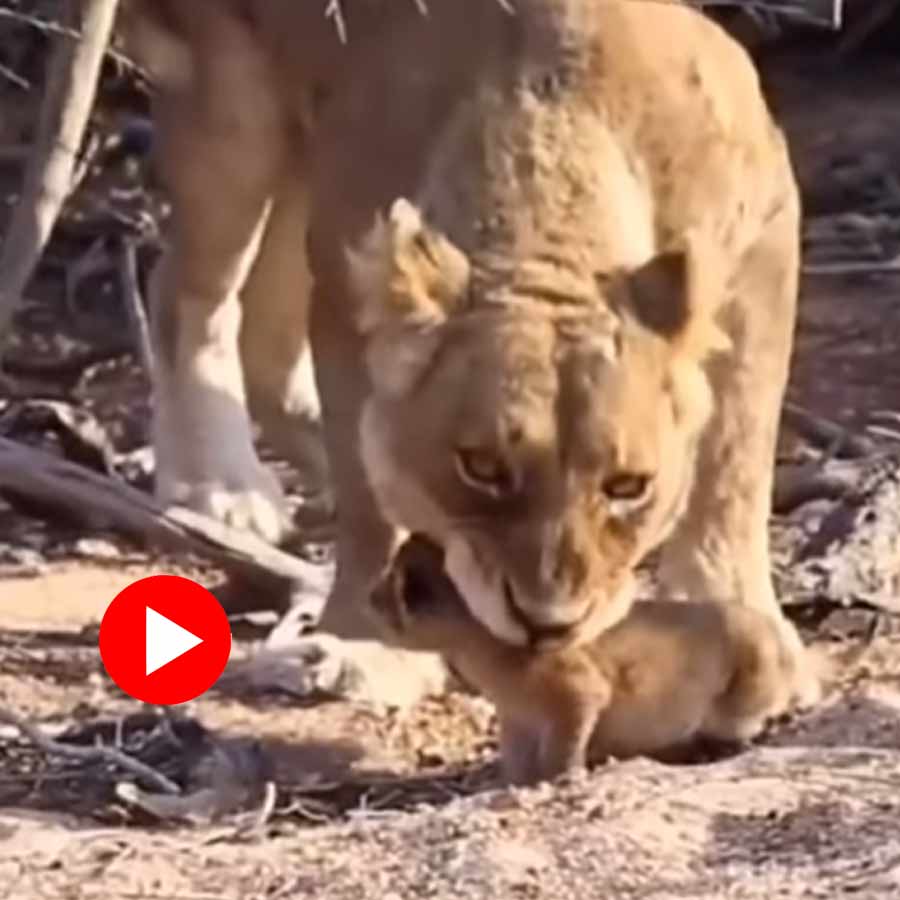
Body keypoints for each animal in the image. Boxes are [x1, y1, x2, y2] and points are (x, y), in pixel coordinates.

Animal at [122, 0, 820, 708]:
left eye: (628, 486)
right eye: (481, 467)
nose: (547, 623)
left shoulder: (767, 233)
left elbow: (735, 463)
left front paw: (750, 631)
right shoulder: (351, 283)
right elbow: (371, 496)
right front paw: (366, 646)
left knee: (263, 336)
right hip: (233, 110)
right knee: (188, 293)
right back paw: (220, 486)